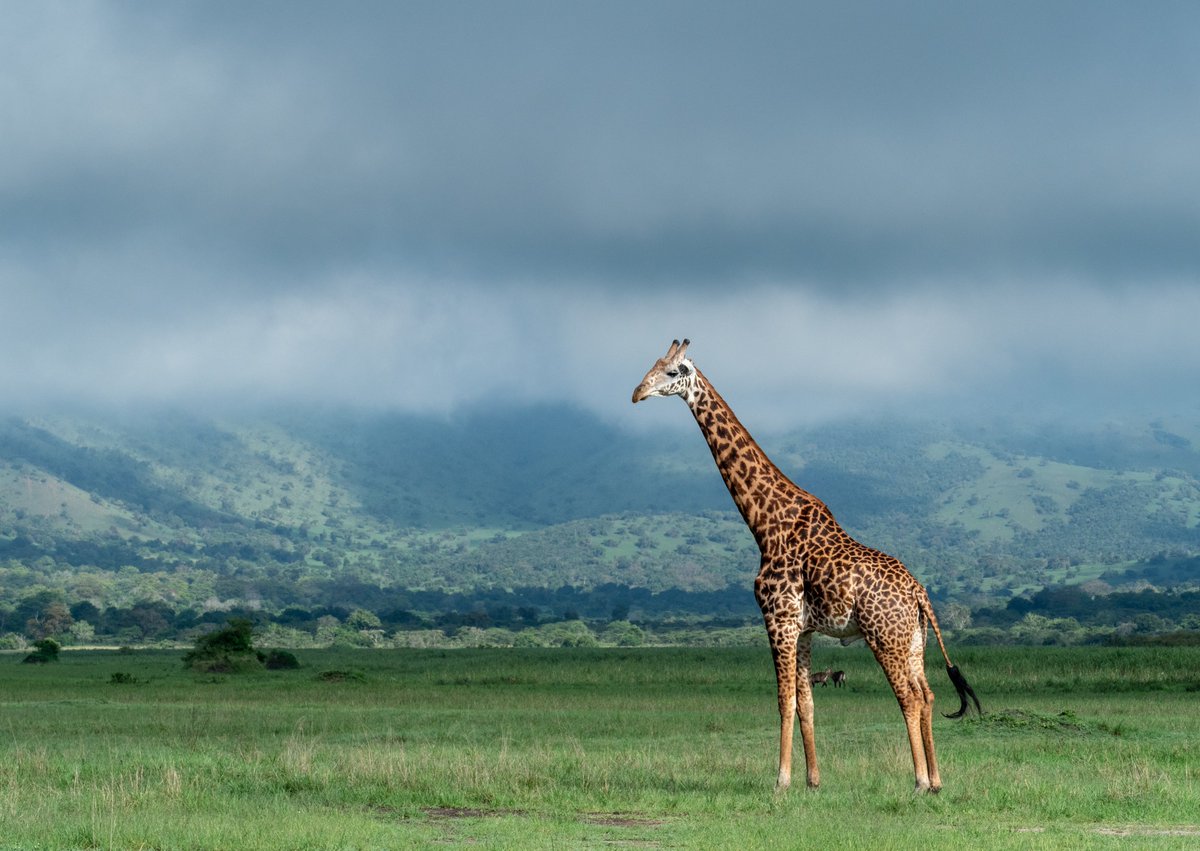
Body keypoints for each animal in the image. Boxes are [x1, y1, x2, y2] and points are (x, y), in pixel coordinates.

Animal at [633, 338, 979, 792]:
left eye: (673, 372)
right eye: (652, 366)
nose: (637, 393)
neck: (765, 523)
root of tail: (919, 592)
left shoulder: (777, 618)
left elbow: (784, 699)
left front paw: (780, 780)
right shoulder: (804, 629)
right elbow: (807, 702)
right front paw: (813, 779)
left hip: (884, 636)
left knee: (909, 696)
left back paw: (920, 781)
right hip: (914, 641)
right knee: (929, 694)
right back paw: (937, 780)